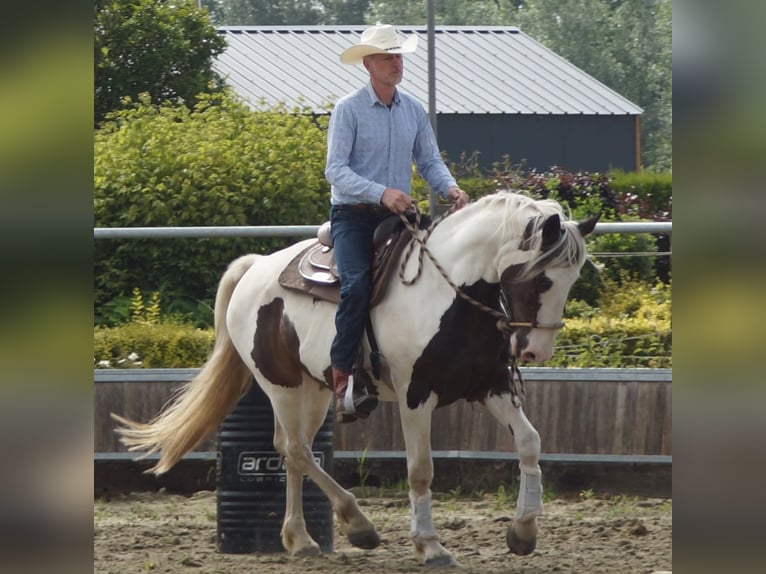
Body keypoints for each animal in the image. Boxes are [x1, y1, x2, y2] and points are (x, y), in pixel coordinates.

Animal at [113, 190, 598, 567]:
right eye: (541, 279)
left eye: (572, 280)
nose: (535, 351)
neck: (450, 296)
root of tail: (255, 268)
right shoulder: (415, 396)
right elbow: (421, 469)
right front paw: (429, 546)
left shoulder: (490, 386)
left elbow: (530, 442)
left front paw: (524, 531)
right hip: (279, 384)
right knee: (296, 449)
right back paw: (357, 524)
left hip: (316, 389)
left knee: (292, 451)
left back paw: (301, 539)